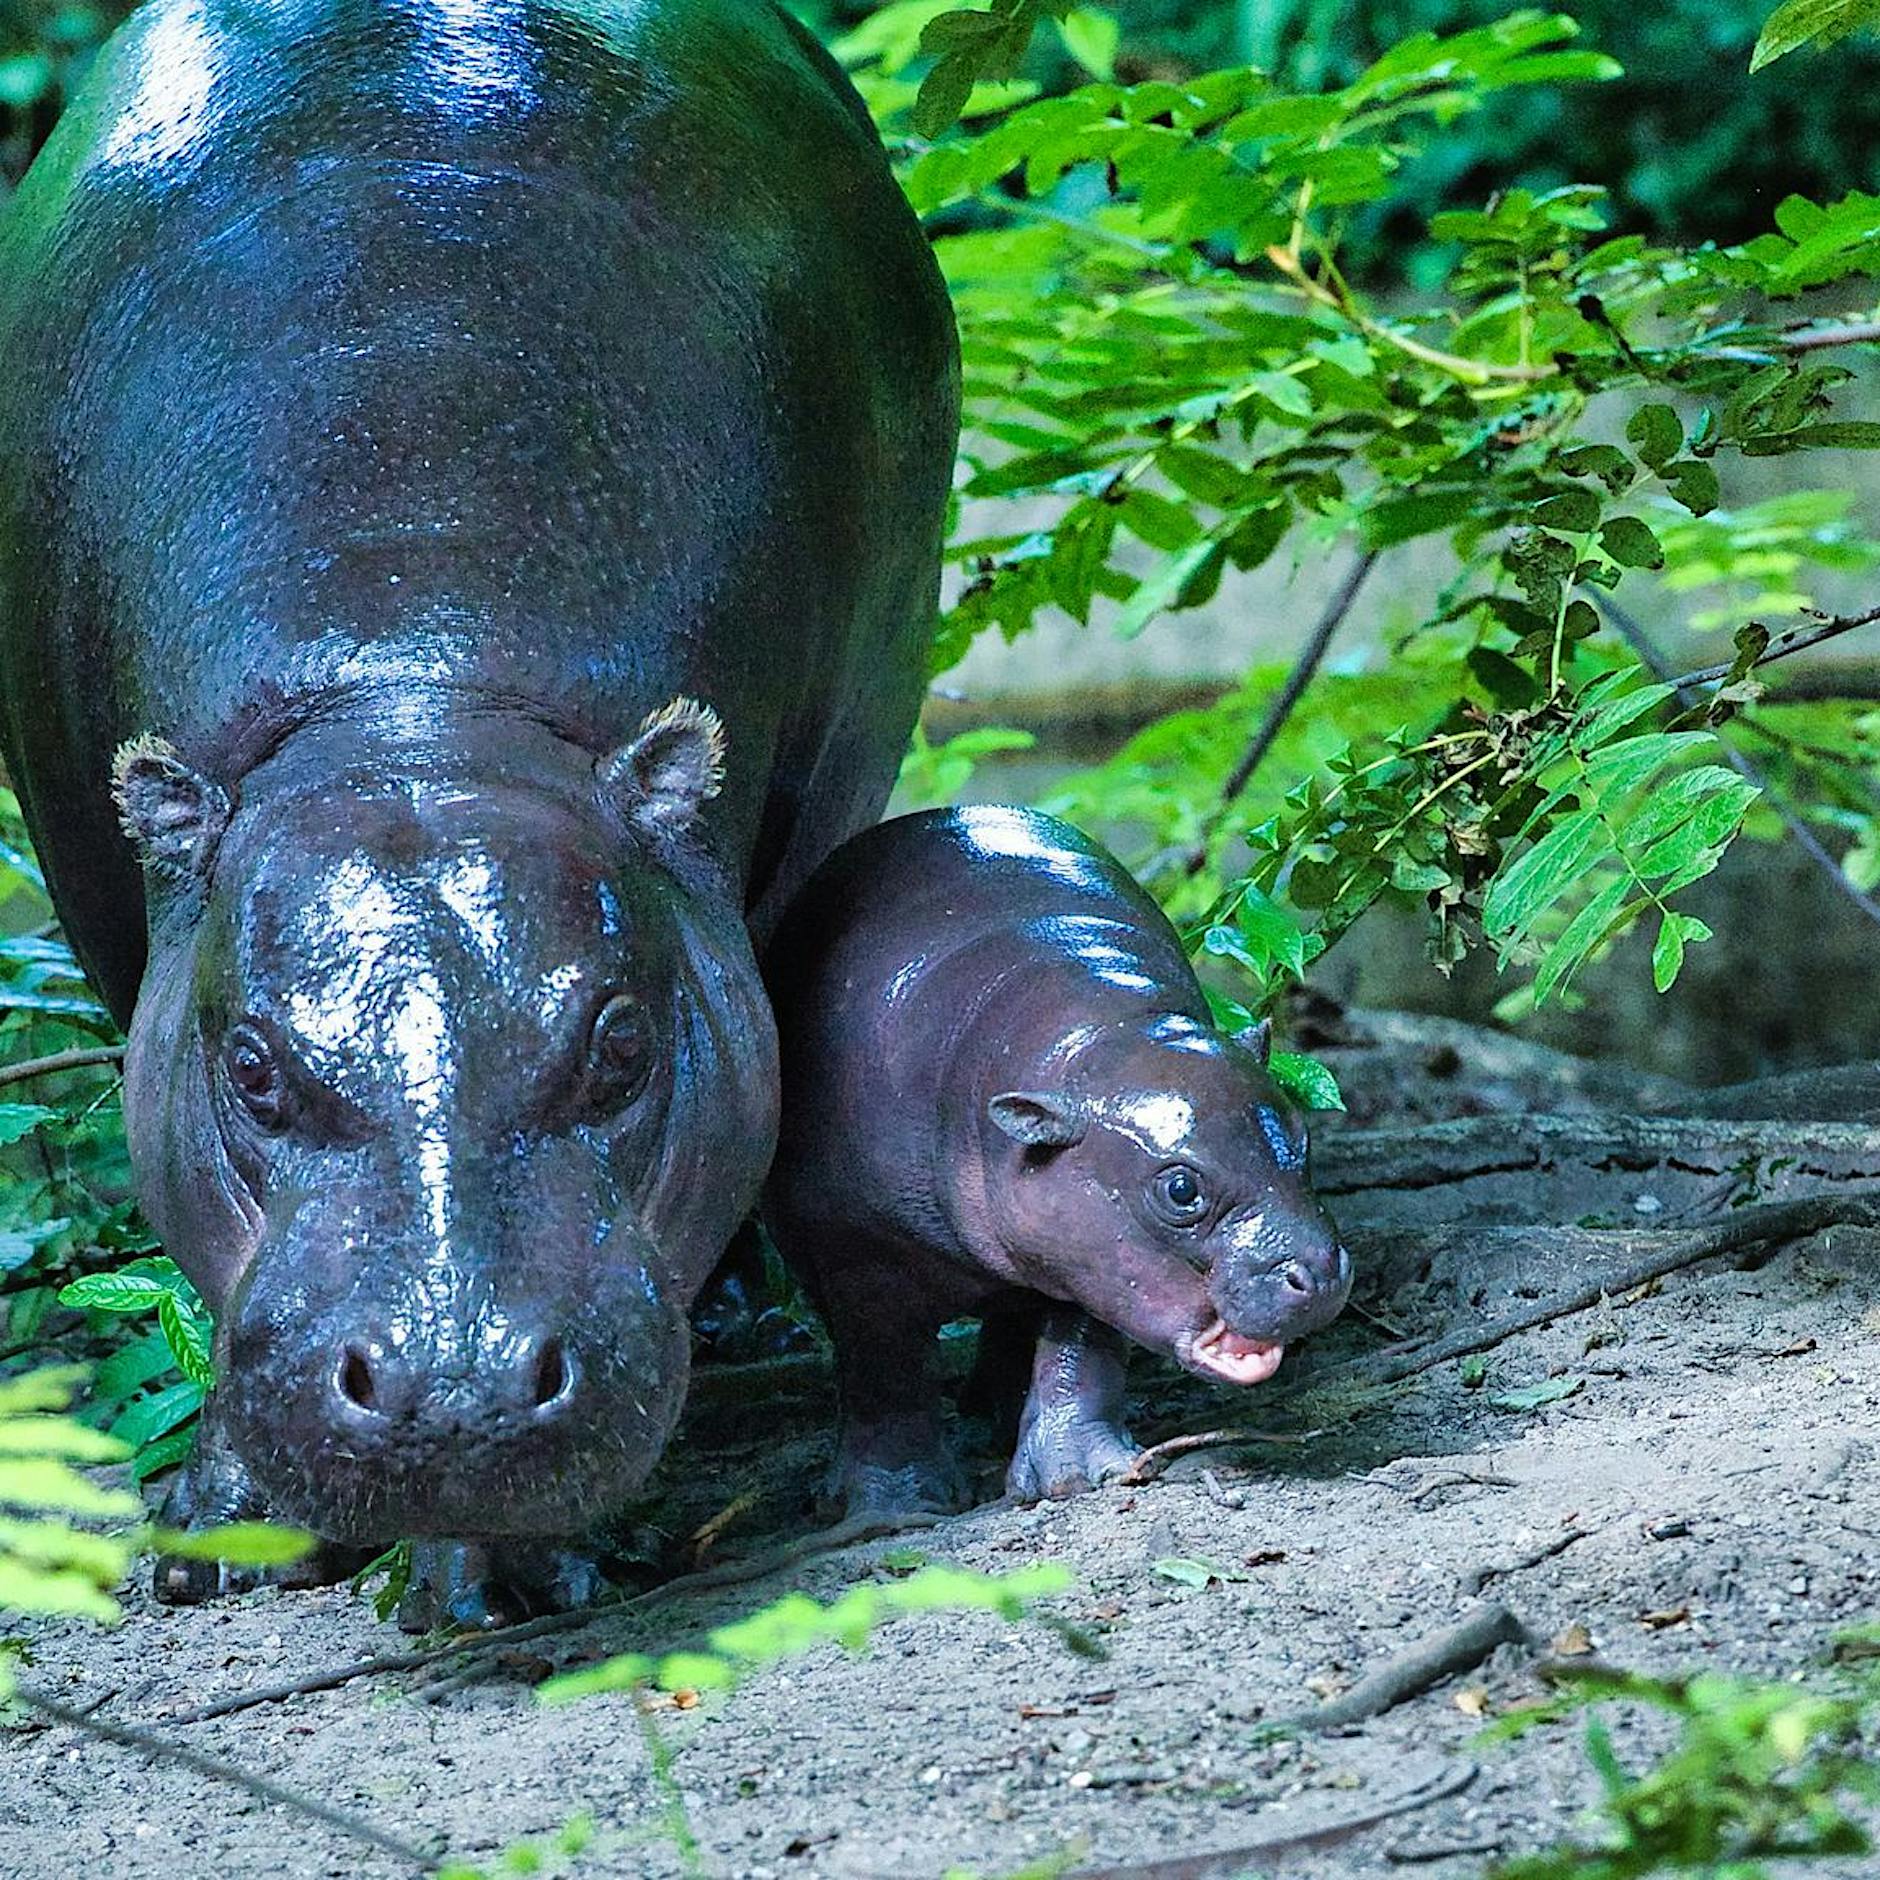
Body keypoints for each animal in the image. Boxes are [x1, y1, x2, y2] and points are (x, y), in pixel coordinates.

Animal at [0, 0, 957, 1617]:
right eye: (250, 1069)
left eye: (622, 1041)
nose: (456, 1392)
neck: (416, 693)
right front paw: (219, 1544)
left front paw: (496, 1581)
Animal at [762, 806, 1351, 1513]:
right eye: (1181, 1190)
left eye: (1302, 1138)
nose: (1322, 1270)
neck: (1093, 1041)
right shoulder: (860, 1250)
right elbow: (885, 1368)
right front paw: (898, 1505)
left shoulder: (1087, 1247)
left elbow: (1081, 1342)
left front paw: (1080, 1477)